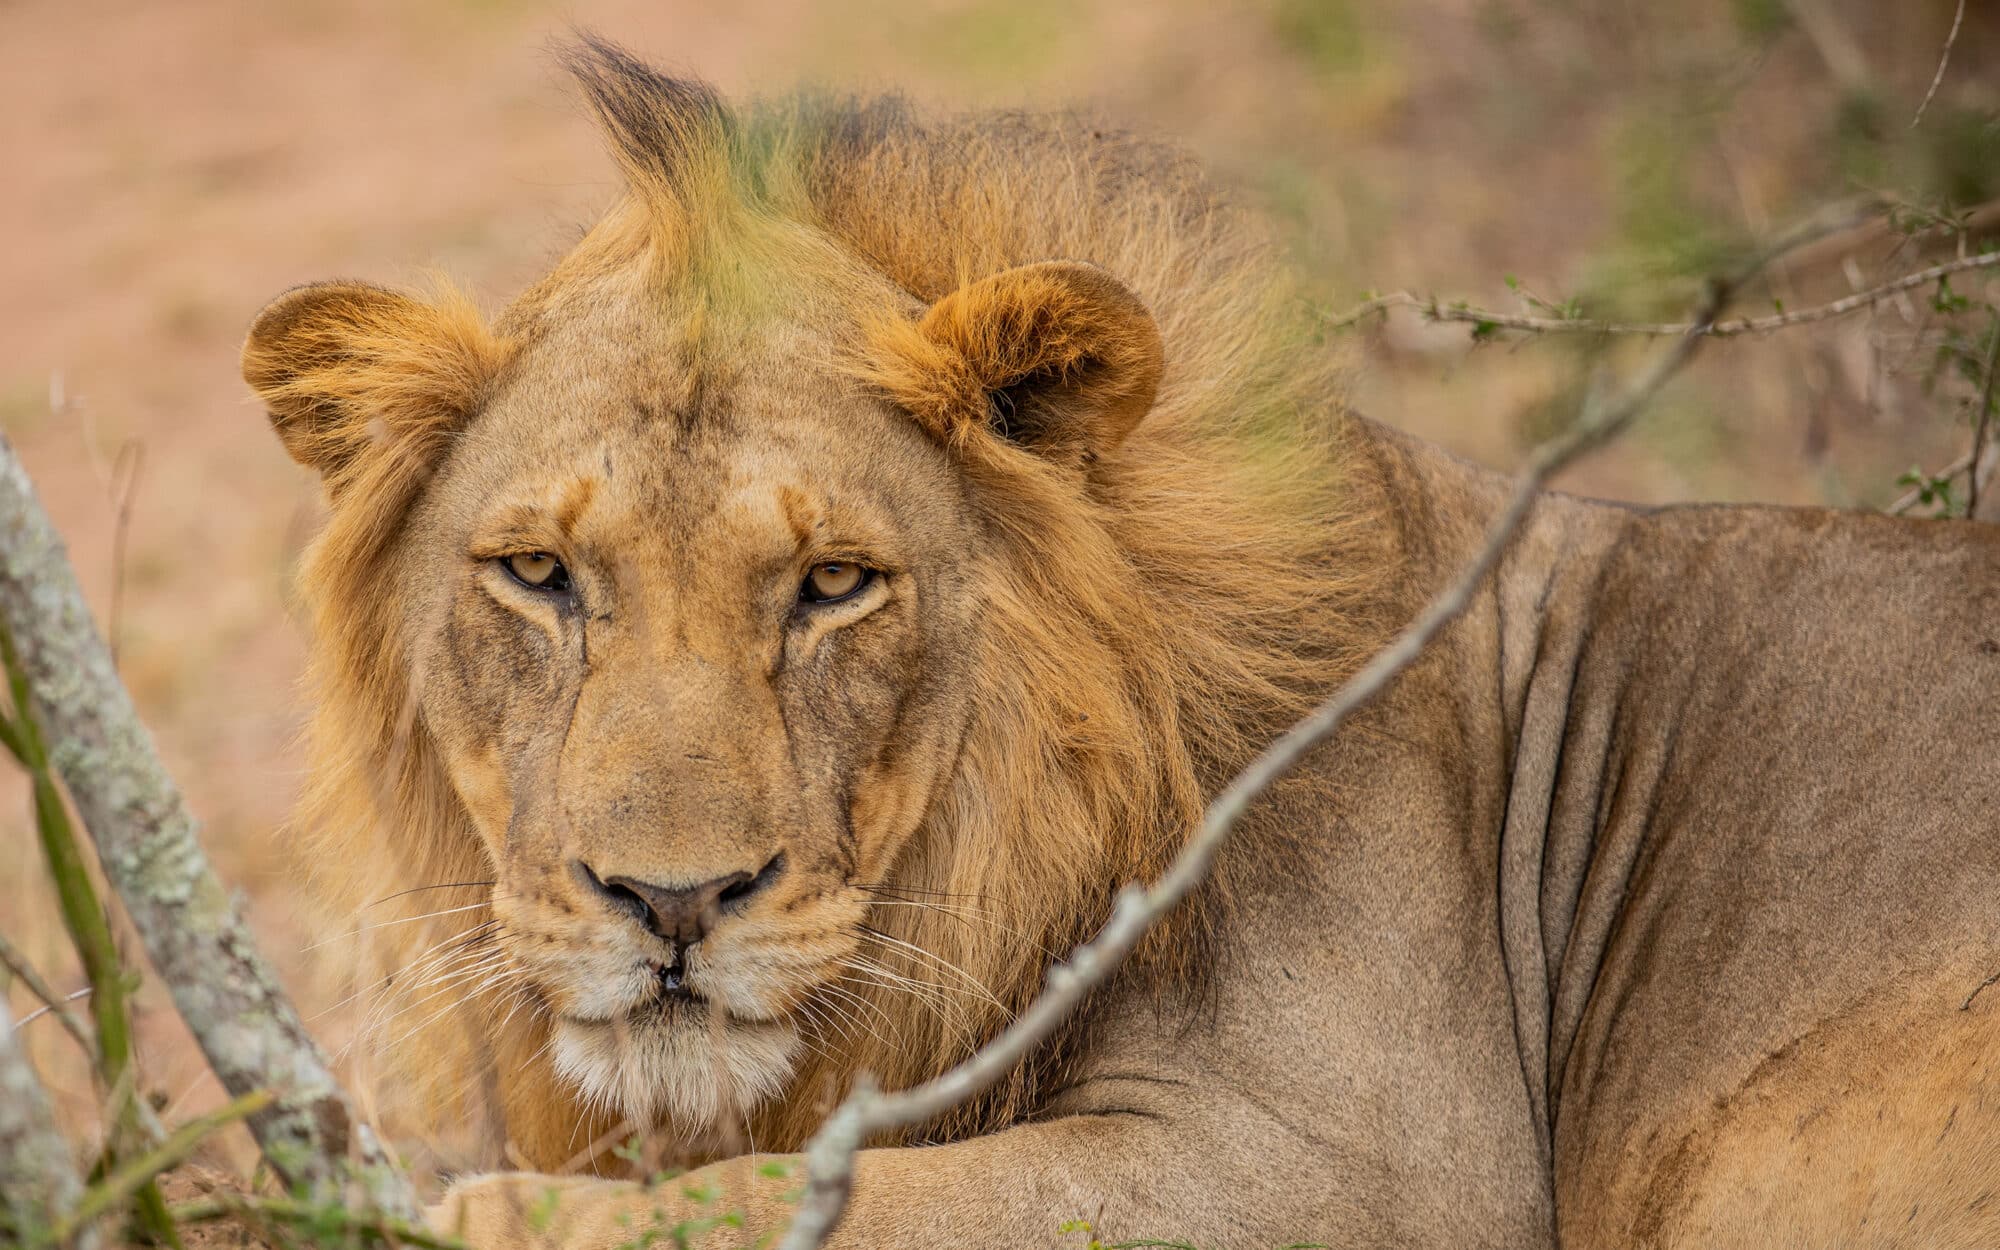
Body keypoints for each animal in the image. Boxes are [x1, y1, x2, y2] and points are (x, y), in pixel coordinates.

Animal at [241, 36, 2000, 1250]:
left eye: (832, 583)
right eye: (539, 574)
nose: (672, 902)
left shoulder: (1370, 1167)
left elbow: (829, 1197)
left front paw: (456, 1212)